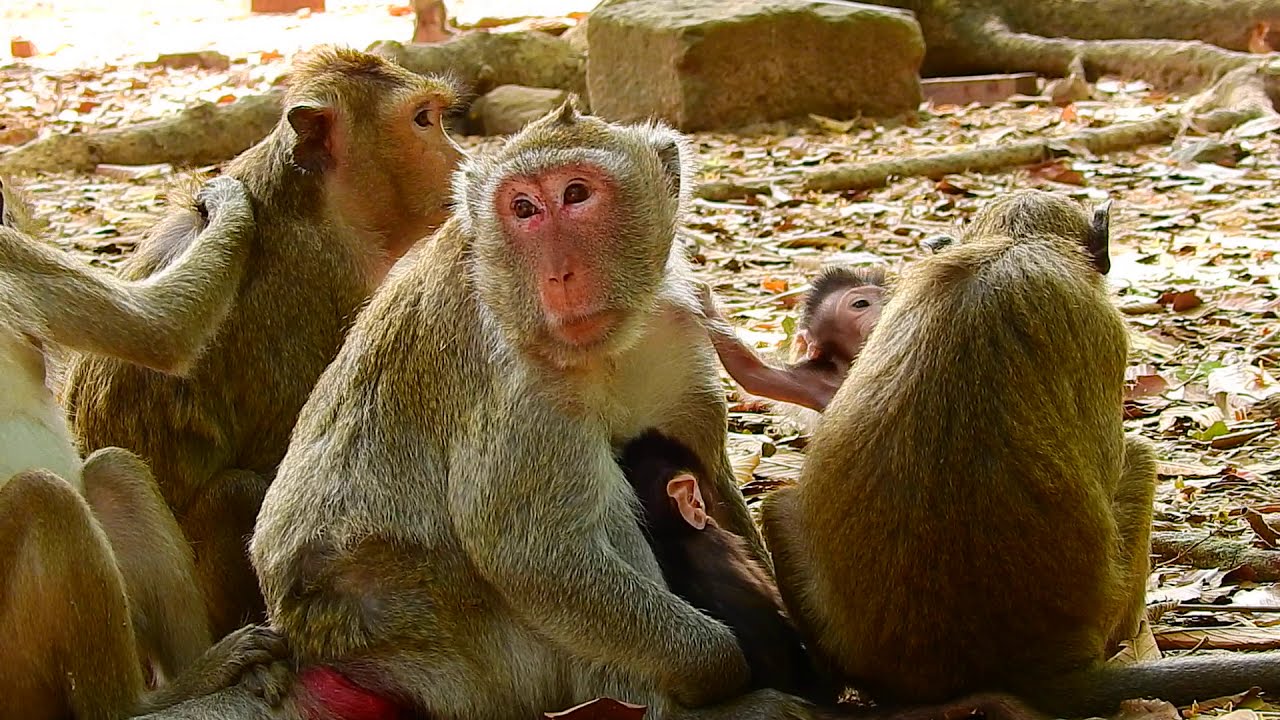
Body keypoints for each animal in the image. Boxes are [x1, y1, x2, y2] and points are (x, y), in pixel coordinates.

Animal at [0, 174, 256, 719]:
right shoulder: (10, 253)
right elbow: (158, 330)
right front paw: (229, 206)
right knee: (45, 499)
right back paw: (140, 701)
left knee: (113, 473)